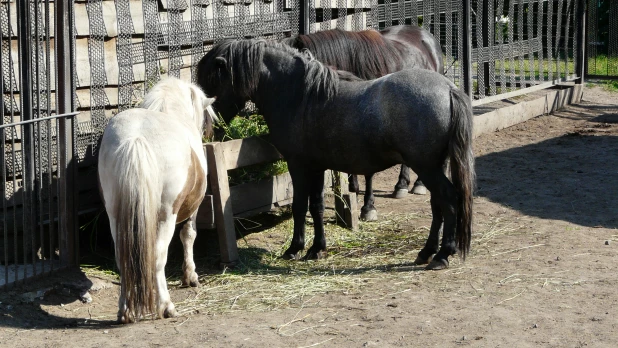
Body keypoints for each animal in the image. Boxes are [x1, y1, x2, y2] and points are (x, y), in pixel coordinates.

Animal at [98, 77, 217, 322]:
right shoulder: (193, 209)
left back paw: (125, 311)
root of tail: (136, 138)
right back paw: (166, 306)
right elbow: (189, 235)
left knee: (122, 258)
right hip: (165, 217)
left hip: (115, 215)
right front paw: (190, 276)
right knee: (158, 257)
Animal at [195, 40, 474, 270]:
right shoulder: (317, 167)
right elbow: (316, 206)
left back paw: (442, 255)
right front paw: (317, 249)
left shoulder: (298, 165)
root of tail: (448, 89)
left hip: (426, 166)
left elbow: (299, 206)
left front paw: (294, 248)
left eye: (211, 82)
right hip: (434, 166)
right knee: (438, 204)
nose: (207, 131)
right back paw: (427, 252)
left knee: (448, 199)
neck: (299, 94)